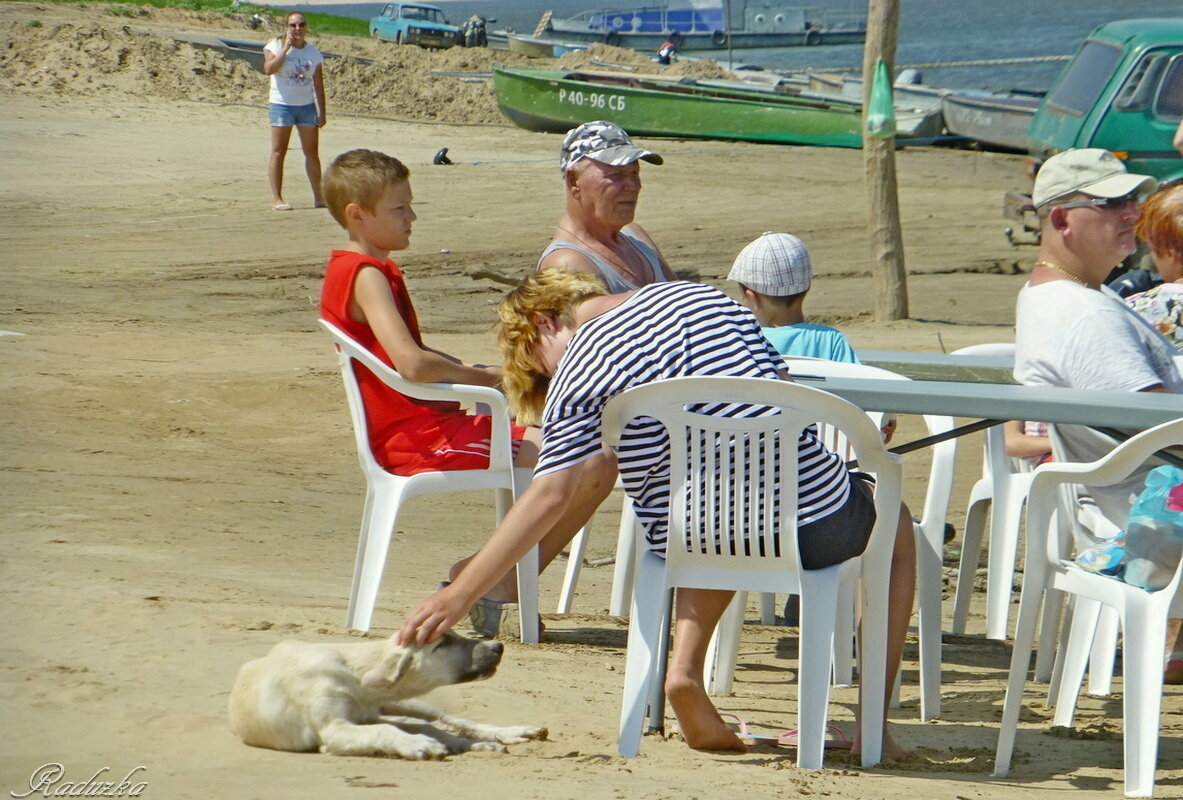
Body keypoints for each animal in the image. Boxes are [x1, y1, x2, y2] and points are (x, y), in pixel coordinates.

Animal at [229, 629, 548, 757]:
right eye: (442, 643)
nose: (498, 647)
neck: (353, 672)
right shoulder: (335, 728)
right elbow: (385, 730)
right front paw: (417, 744)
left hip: (412, 704)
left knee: (452, 722)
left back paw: (509, 734)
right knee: (432, 727)